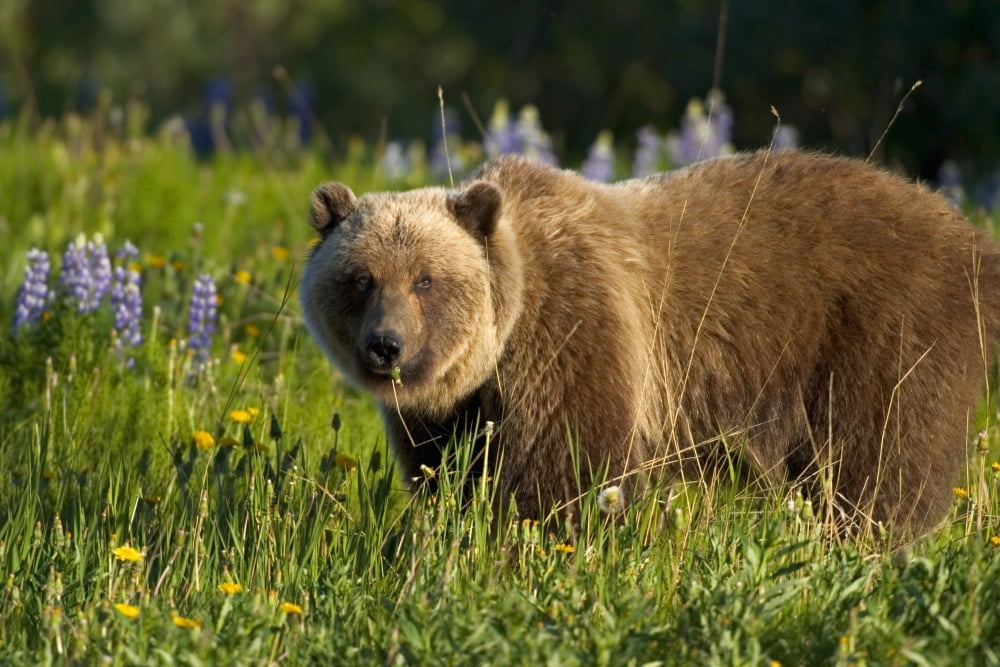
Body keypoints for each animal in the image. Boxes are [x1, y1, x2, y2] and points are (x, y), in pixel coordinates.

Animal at [299, 149, 1000, 539]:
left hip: (881, 328)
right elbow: (449, 472)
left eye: (425, 279)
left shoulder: (575, 334)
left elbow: (570, 470)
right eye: (360, 278)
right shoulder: (454, 412)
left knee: (878, 458)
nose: (386, 346)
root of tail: (967, 232)